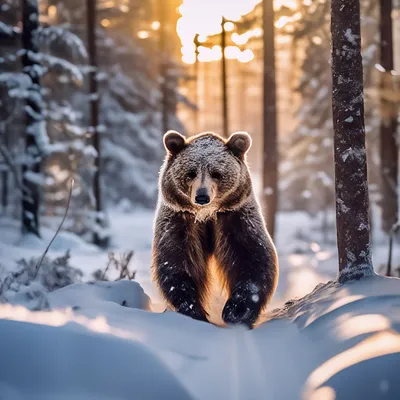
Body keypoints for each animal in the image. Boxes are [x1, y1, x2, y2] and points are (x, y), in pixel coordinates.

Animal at [152, 131, 280, 328]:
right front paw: (193, 310)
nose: (202, 196)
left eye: (216, 173)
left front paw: (236, 311)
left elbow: (251, 258)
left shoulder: (234, 218)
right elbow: (177, 261)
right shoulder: (180, 221)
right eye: (191, 172)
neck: (207, 215)